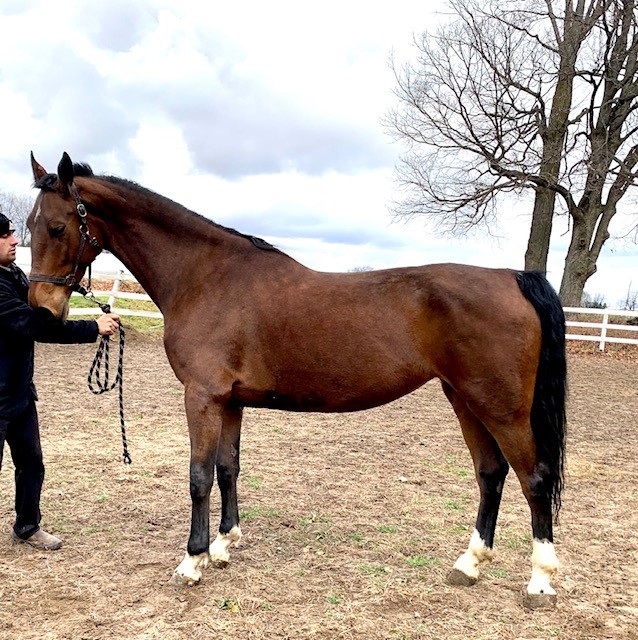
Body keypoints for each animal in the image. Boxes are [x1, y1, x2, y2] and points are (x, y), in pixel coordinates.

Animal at [27, 152, 567, 609]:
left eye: (57, 226)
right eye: (28, 227)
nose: (43, 310)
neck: (204, 277)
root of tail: (513, 277)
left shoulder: (202, 397)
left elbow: (199, 477)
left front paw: (192, 561)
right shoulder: (230, 401)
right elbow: (228, 468)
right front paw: (224, 544)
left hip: (501, 408)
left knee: (534, 478)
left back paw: (540, 582)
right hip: (465, 398)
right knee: (490, 474)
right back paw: (469, 565)